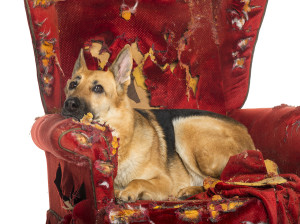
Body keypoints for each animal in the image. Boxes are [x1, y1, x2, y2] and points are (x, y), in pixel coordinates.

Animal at [62, 44, 255, 202]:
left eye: (98, 88)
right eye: (73, 85)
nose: (69, 104)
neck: (123, 142)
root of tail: (248, 135)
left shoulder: (164, 181)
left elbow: (137, 180)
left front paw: (128, 191)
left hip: (183, 126)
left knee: (220, 181)